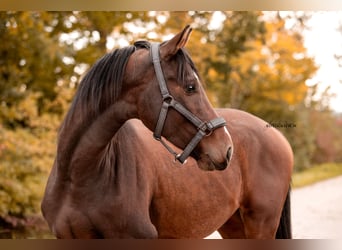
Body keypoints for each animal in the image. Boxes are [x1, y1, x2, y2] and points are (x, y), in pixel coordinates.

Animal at [41, 25, 292, 238]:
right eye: (190, 86)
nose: (227, 149)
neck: (78, 178)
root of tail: (277, 134)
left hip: (261, 223)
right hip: (232, 224)